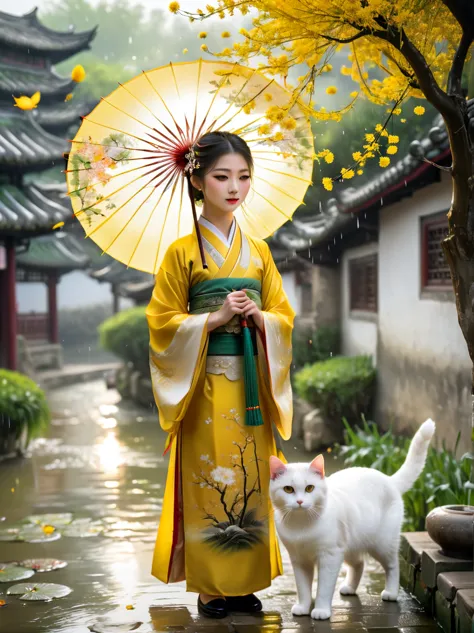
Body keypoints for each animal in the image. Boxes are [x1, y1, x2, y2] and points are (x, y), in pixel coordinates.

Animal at [268, 418, 436, 620]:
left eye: (309, 488)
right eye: (288, 489)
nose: (300, 501)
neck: (301, 525)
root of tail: (388, 479)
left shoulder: (330, 557)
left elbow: (323, 588)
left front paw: (321, 610)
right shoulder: (299, 560)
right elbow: (303, 588)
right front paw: (303, 606)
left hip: (382, 544)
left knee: (392, 565)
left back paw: (391, 592)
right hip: (349, 546)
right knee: (359, 564)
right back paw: (349, 588)